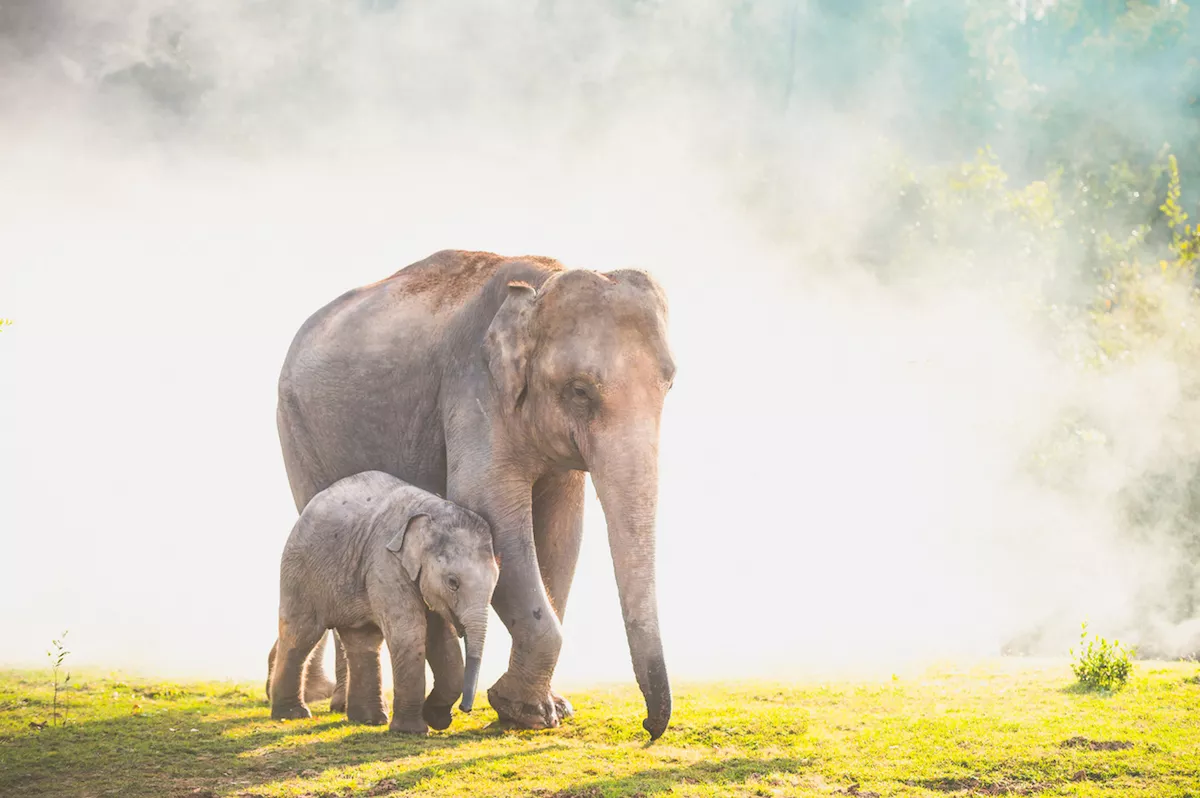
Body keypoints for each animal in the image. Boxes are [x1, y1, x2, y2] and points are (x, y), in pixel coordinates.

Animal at [268, 470, 498, 734]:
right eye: (453, 582)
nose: (465, 709)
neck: (433, 511)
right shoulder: (385, 562)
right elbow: (410, 632)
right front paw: (412, 730)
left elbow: (440, 636)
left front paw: (436, 718)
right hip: (300, 571)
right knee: (301, 634)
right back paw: (292, 715)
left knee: (363, 640)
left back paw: (369, 720)